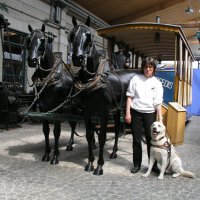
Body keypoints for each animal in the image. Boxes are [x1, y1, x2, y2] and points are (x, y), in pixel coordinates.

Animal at [25, 23, 79, 164]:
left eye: (43, 40)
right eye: (28, 39)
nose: (32, 60)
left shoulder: (58, 109)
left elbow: (56, 131)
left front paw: (55, 156)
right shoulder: (44, 108)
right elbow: (46, 131)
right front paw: (46, 154)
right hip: (69, 109)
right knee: (73, 125)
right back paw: (70, 145)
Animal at [68, 16, 139, 175]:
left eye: (88, 35)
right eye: (72, 35)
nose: (77, 58)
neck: (93, 81)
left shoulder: (104, 112)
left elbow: (101, 137)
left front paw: (99, 166)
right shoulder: (87, 112)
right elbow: (89, 136)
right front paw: (90, 163)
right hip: (118, 109)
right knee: (118, 128)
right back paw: (114, 152)